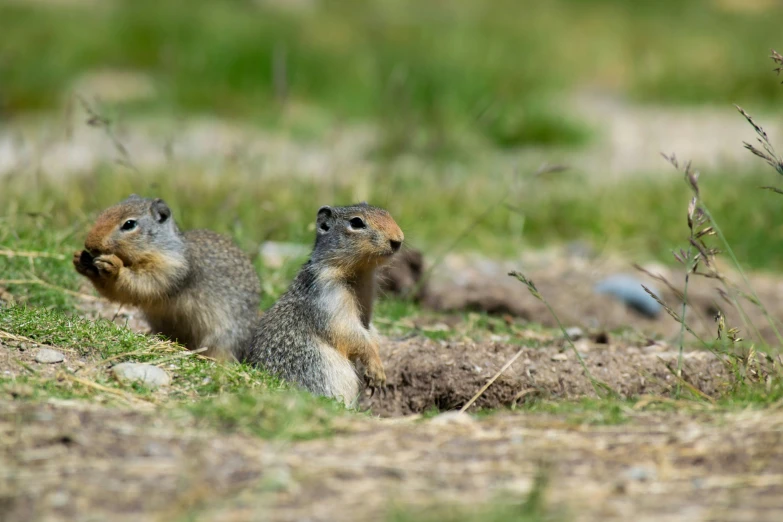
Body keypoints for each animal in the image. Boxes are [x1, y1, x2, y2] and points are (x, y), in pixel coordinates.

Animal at [72, 193, 260, 360]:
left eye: (129, 224)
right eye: (104, 213)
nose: (89, 244)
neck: (159, 247)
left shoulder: (170, 268)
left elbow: (142, 285)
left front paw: (113, 265)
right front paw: (80, 259)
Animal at [242, 202, 404, 402]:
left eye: (386, 213)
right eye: (356, 222)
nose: (398, 240)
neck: (359, 274)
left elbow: (369, 331)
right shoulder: (330, 299)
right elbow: (350, 332)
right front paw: (376, 370)